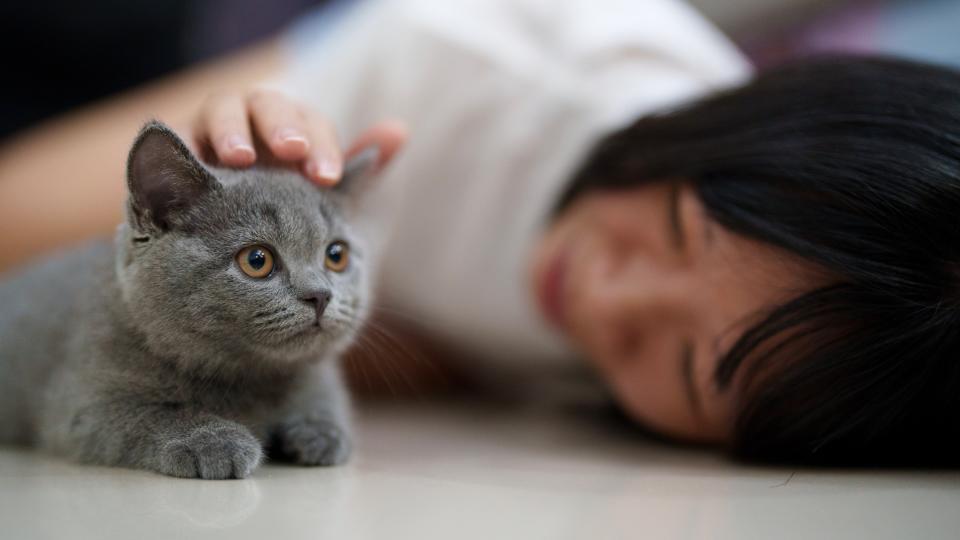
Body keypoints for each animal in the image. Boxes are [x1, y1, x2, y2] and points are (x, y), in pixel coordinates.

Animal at [0, 121, 378, 476]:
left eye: (337, 255)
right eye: (257, 260)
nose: (320, 295)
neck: (251, 381)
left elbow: (325, 399)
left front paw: (321, 431)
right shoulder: (80, 404)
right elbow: (148, 414)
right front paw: (212, 440)